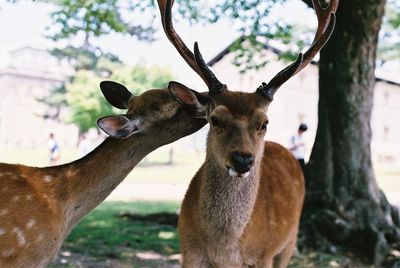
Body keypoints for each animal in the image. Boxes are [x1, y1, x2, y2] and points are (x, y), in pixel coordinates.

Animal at [158, 0, 340, 266]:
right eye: (215, 119)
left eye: (264, 123)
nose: (242, 159)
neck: (224, 250)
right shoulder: (188, 251)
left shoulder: (263, 256)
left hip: (290, 240)